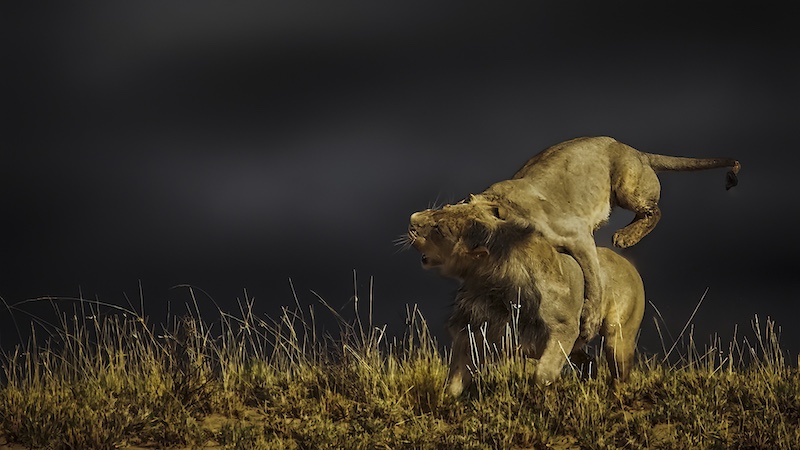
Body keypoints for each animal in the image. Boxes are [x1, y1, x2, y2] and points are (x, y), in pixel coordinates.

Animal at [406, 201, 645, 395]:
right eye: (446, 207)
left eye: (439, 229)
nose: (412, 219)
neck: (490, 281)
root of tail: (628, 264)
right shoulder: (472, 329)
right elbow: (455, 376)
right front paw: (447, 400)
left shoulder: (564, 328)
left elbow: (542, 373)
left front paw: (542, 392)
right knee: (590, 362)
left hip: (618, 336)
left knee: (620, 373)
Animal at [418, 136, 738, 342]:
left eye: (451, 225)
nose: (417, 222)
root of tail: (634, 149)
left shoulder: (580, 236)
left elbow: (594, 281)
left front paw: (589, 325)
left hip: (626, 186)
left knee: (654, 210)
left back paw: (624, 237)